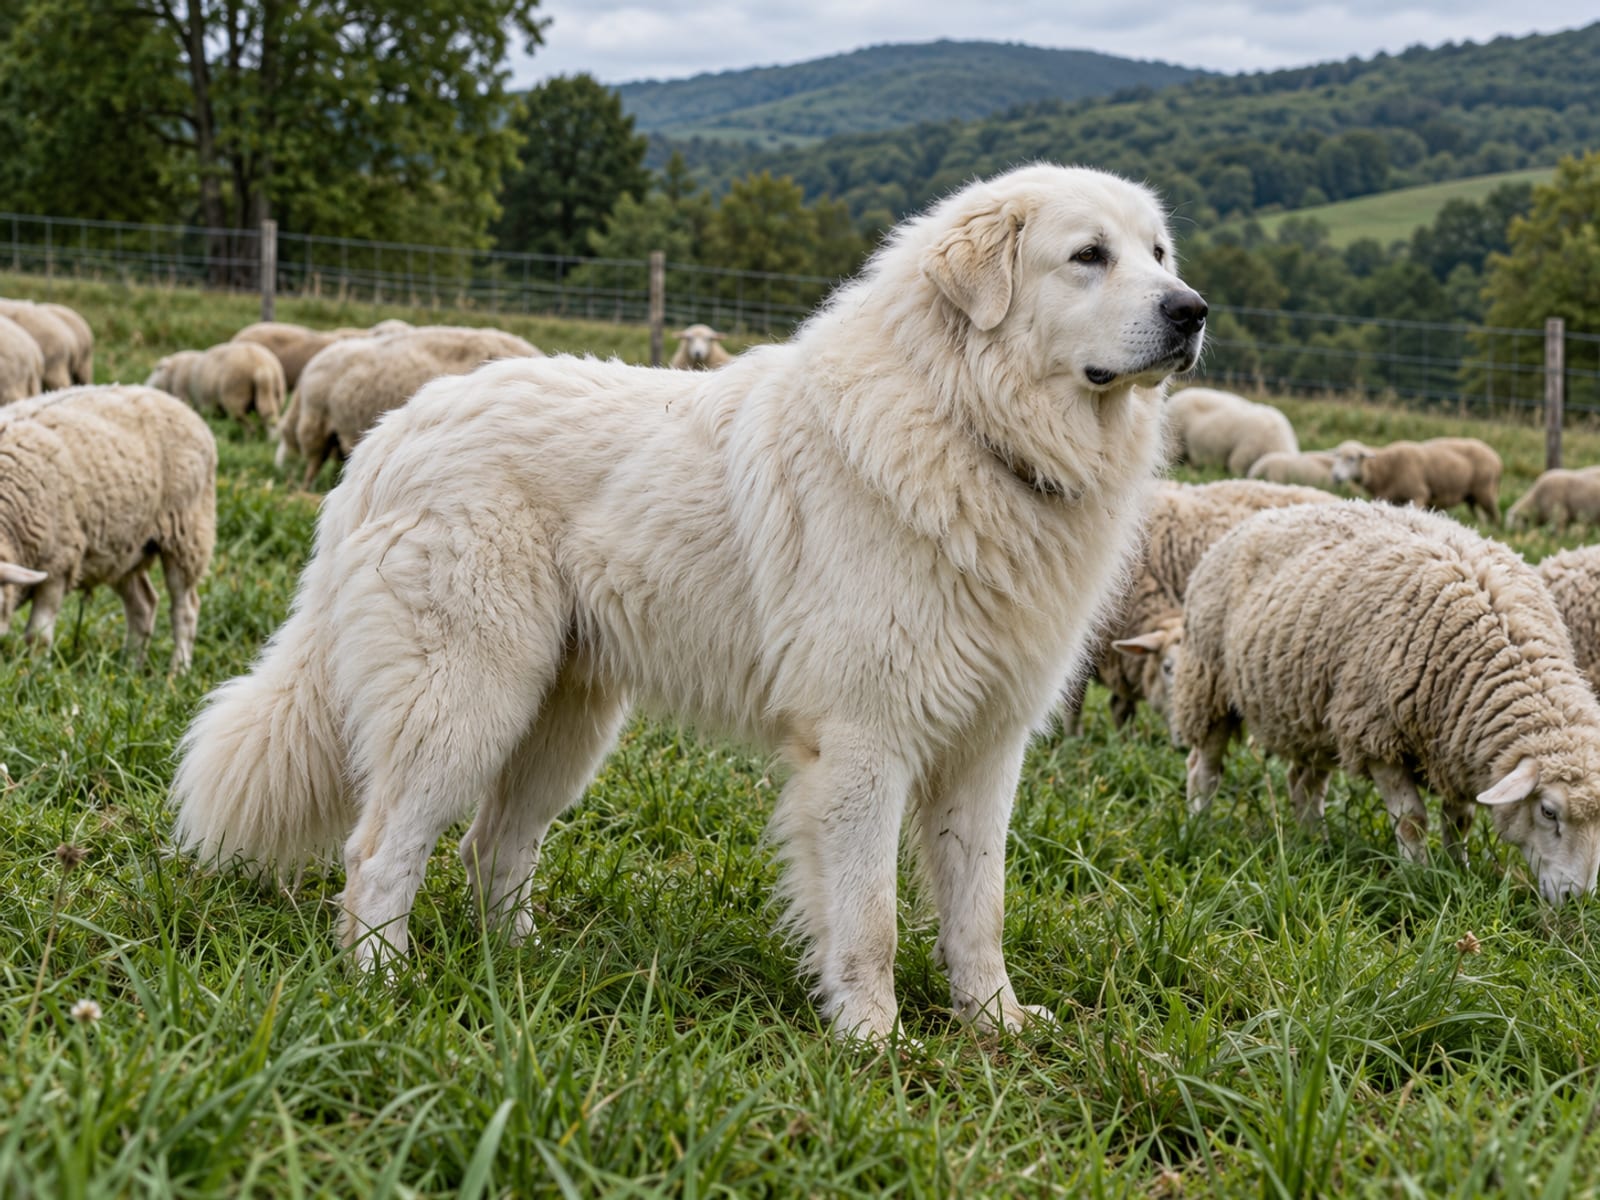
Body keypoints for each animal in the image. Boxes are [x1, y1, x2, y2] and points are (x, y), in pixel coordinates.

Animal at [0, 385, 216, 672]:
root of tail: (173, 400)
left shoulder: (59, 563)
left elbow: (37, 637)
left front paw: (35, 673)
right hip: (127, 548)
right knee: (144, 604)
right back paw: (130, 667)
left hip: (187, 534)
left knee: (186, 609)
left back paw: (177, 671)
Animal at [148, 341, 286, 427]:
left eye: (156, 369)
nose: (146, 385)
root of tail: (261, 365)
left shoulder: (185, 396)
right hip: (274, 392)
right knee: (269, 416)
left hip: (235, 394)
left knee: (246, 422)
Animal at [1330, 437, 1502, 524]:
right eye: (1336, 456)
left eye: (1351, 458)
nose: (1335, 476)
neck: (1385, 468)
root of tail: (1496, 458)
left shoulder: (1419, 494)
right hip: (1472, 496)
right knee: (1481, 516)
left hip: (1485, 491)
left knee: (1495, 515)